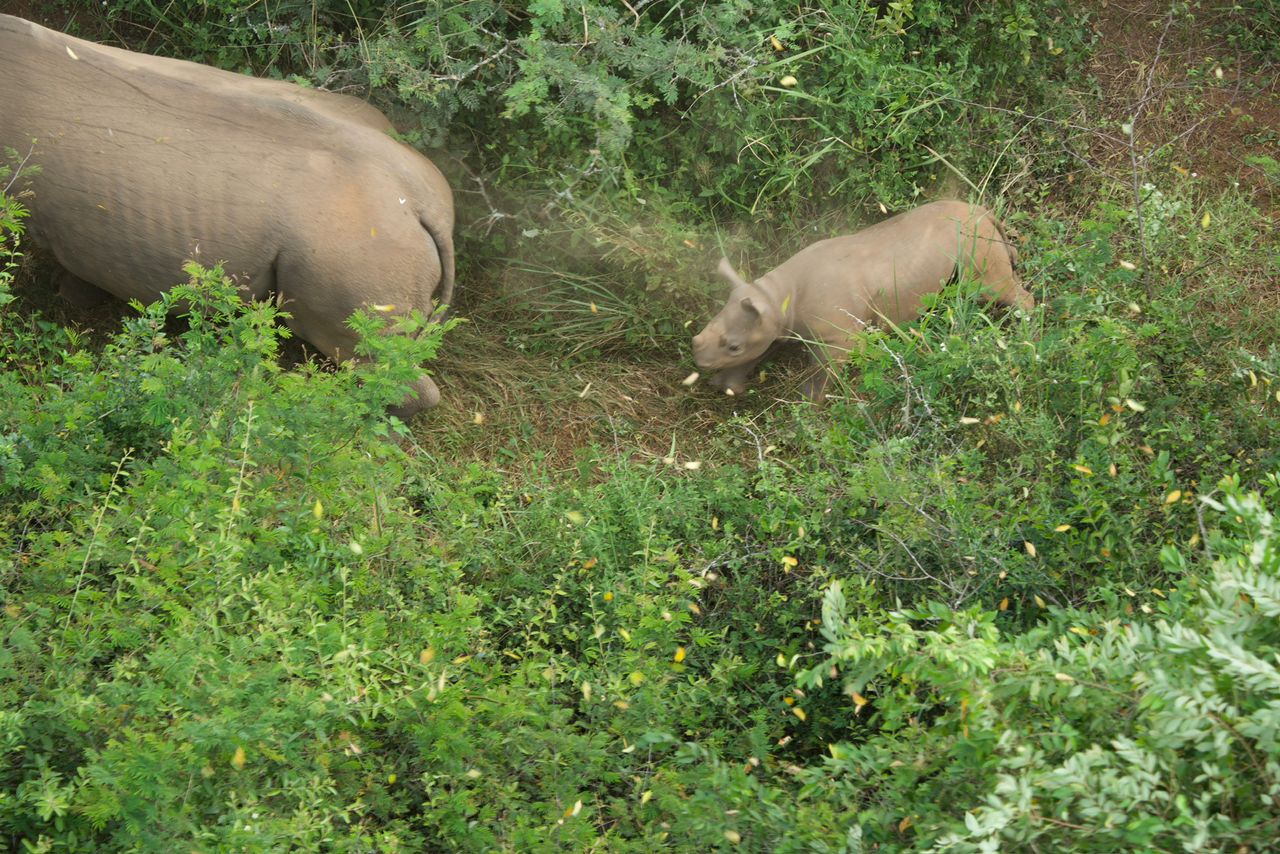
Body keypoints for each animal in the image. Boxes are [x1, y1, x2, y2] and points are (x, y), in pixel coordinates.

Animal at [691, 201, 1029, 404]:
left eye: (733, 346)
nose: (699, 361)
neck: (777, 297)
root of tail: (984, 211)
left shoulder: (838, 336)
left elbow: (824, 370)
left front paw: (809, 401)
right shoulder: (771, 323)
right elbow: (760, 352)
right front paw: (726, 385)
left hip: (972, 240)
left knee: (991, 288)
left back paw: (1027, 329)